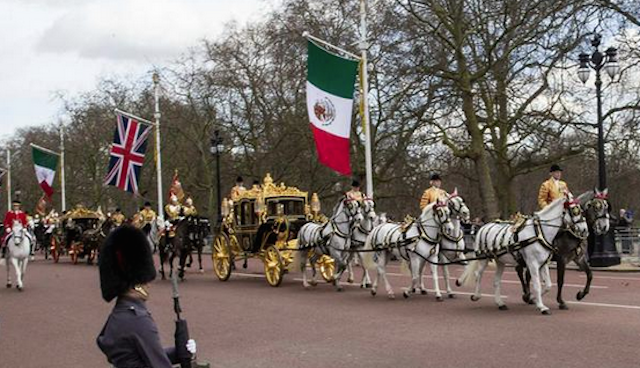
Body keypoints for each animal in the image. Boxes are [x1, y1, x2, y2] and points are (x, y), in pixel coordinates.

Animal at [458, 193, 588, 314]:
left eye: (581, 210)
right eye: (575, 210)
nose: (585, 230)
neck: (540, 232)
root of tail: (483, 227)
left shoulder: (544, 263)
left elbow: (548, 285)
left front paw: (532, 298)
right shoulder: (534, 263)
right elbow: (537, 284)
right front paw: (542, 306)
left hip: (500, 261)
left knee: (497, 281)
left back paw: (500, 303)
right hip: (484, 258)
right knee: (478, 274)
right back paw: (476, 296)